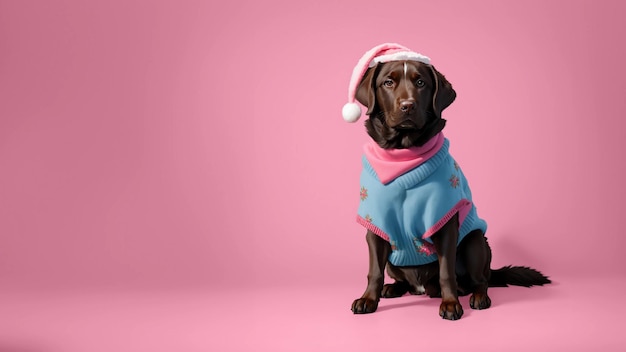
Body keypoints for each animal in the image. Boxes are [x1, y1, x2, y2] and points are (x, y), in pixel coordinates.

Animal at [344, 43, 548, 320]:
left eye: (420, 82)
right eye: (388, 82)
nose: (407, 105)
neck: (404, 157)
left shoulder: (445, 223)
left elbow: (446, 271)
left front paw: (451, 303)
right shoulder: (375, 225)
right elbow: (373, 270)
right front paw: (368, 299)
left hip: (475, 241)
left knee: (480, 280)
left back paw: (476, 296)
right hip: (396, 262)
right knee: (401, 280)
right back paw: (393, 288)